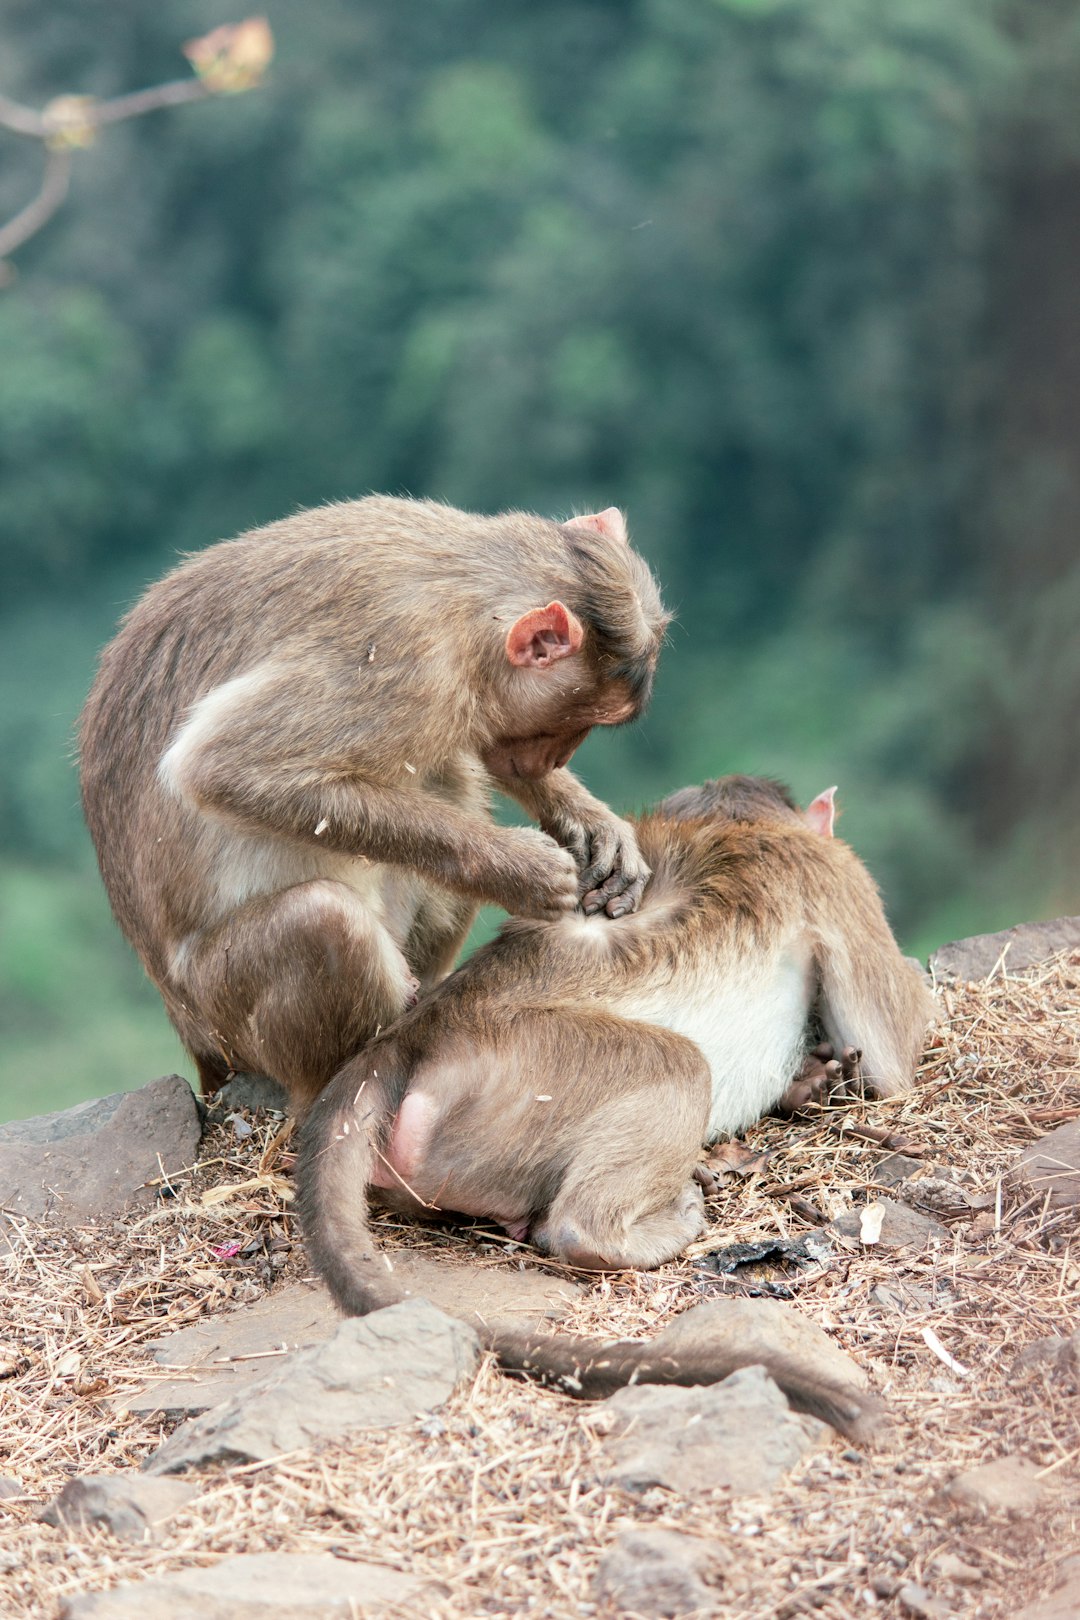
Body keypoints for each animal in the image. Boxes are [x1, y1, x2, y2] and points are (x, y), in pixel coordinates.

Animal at [78, 498, 667, 1108]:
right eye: (576, 721)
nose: (550, 761)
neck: (473, 596)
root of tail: (194, 1040)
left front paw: (594, 827)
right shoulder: (403, 663)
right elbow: (222, 767)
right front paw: (521, 868)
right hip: (223, 1012)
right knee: (323, 919)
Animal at [296, 777, 932, 1438]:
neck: (735, 821)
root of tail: (406, 1041)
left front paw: (809, 1082)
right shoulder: (835, 874)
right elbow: (891, 1066)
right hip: (528, 1076)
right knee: (677, 1069)